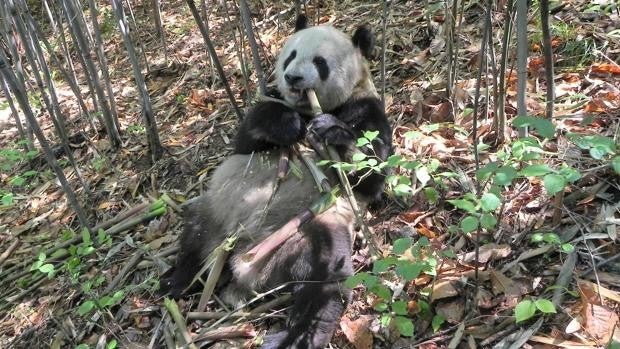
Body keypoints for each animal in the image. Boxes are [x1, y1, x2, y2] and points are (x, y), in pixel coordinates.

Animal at [160, 14, 392, 348]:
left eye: (320, 62)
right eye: (291, 56)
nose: (293, 77)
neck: (309, 109)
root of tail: (244, 260)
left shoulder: (365, 106)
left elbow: (371, 175)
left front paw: (331, 130)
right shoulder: (271, 105)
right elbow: (246, 140)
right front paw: (288, 125)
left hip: (306, 229)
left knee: (324, 279)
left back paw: (298, 336)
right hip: (219, 207)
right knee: (194, 235)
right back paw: (176, 281)